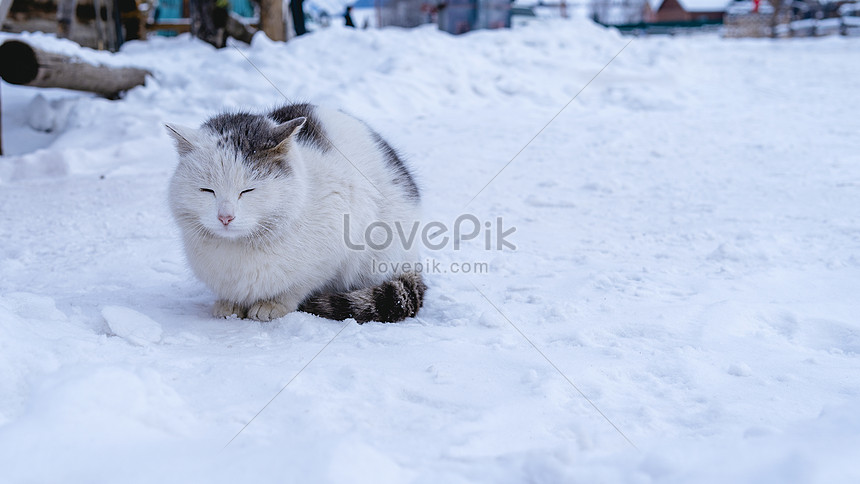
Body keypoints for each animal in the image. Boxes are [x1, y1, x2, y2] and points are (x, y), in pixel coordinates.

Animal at [166, 103, 424, 322]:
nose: (225, 217)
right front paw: (230, 304)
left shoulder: (333, 250)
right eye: (207, 190)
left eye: (247, 190)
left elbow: (298, 286)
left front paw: (273, 304)